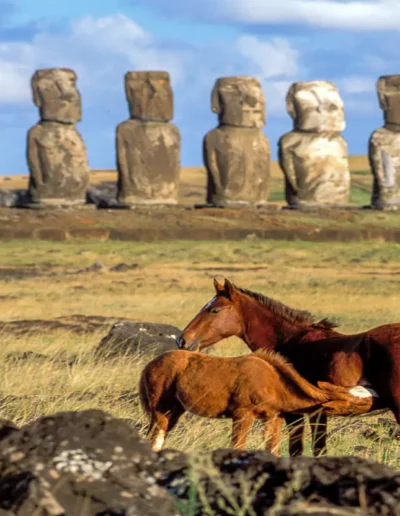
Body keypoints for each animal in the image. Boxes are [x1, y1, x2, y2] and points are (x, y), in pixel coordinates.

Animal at [138, 348, 366, 454]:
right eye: (356, 402)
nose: (373, 405)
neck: (273, 382)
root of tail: (149, 365)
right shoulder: (242, 415)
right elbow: (238, 446)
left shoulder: (273, 418)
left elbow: (273, 449)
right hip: (160, 409)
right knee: (154, 437)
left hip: (175, 411)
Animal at [178, 278, 400, 456]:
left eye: (214, 310)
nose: (183, 340)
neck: (289, 340)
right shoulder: (318, 413)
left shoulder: (296, 413)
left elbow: (297, 450)